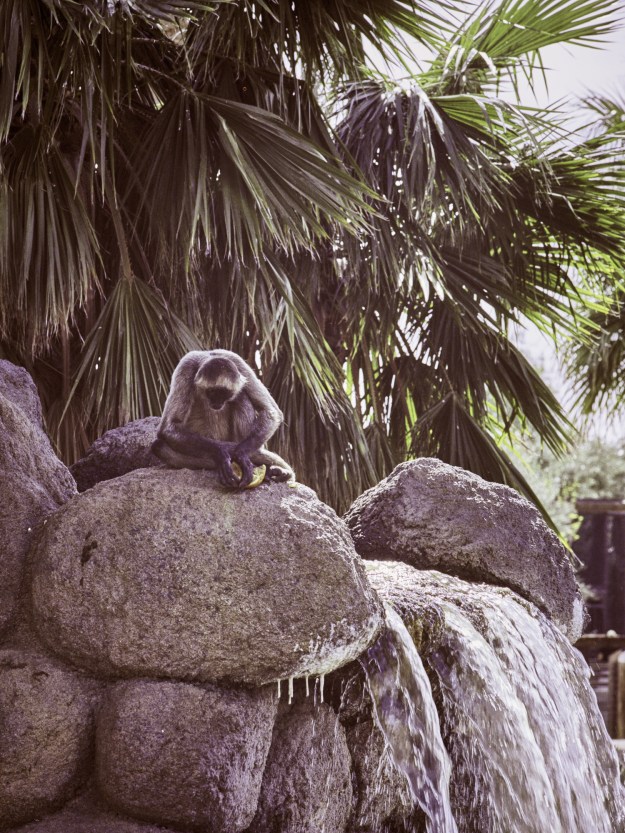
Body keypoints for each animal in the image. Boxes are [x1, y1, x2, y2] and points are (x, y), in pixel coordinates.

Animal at [151, 350, 295, 489]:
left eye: (224, 393)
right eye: (212, 392)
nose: (217, 402)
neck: (210, 355)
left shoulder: (237, 361)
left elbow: (271, 412)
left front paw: (240, 454)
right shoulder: (186, 366)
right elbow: (168, 428)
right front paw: (222, 453)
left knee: (241, 396)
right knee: (159, 446)